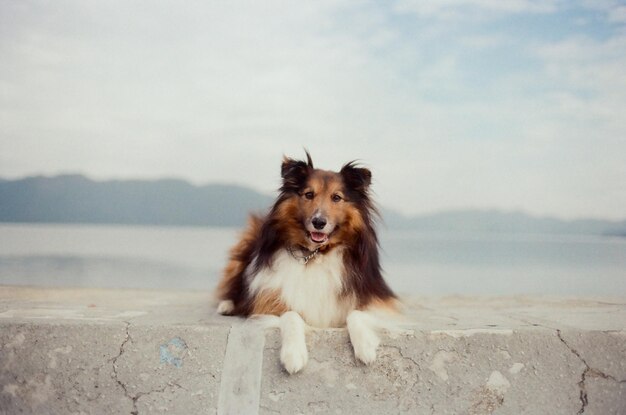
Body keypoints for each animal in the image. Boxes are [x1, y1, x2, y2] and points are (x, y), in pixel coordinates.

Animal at [214, 153, 400, 374]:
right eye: (309, 194)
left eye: (336, 197)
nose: (319, 222)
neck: (315, 255)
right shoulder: (268, 303)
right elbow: (291, 314)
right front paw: (293, 354)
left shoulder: (376, 301)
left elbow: (356, 312)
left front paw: (365, 346)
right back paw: (227, 305)